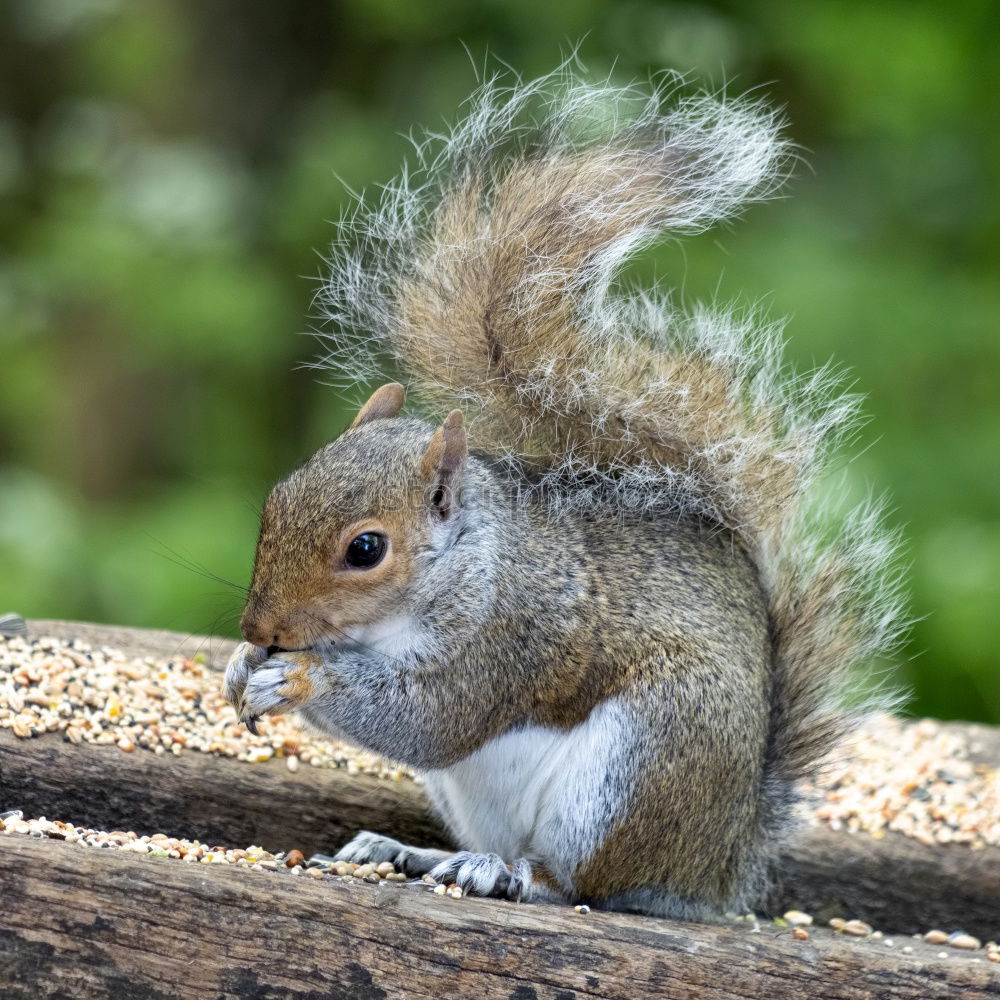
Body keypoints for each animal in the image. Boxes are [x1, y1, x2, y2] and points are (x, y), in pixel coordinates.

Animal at [221, 68, 908, 916]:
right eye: (275, 501)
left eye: (366, 549)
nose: (259, 626)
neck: (463, 563)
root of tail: (717, 871)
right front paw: (241, 667)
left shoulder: (511, 636)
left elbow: (429, 719)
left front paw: (300, 676)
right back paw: (414, 852)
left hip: (635, 771)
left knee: (572, 883)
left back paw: (503, 874)